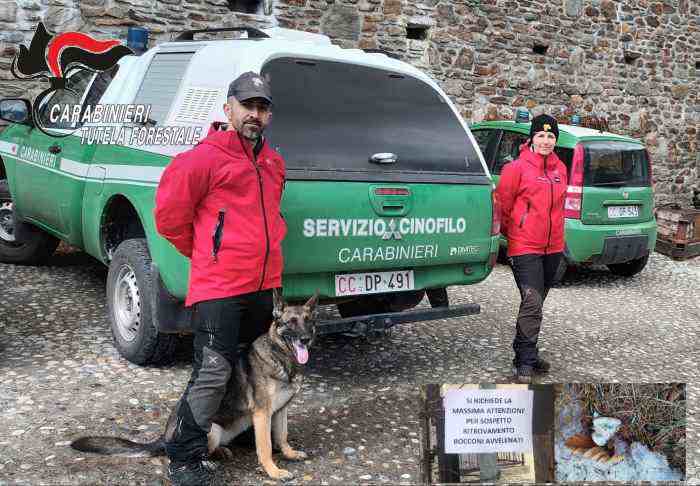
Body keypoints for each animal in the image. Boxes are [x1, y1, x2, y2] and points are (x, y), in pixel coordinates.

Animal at [72, 290, 318, 480]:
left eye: (308, 321)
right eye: (291, 323)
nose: (305, 339)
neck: (282, 357)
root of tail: (164, 438)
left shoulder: (280, 410)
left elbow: (282, 436)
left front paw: (289, 454)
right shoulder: (262, 413)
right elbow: (265, 446)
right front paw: (274, 472)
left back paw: (221, 452)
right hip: (212, 430)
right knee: (174, 456)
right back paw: (202, 462)